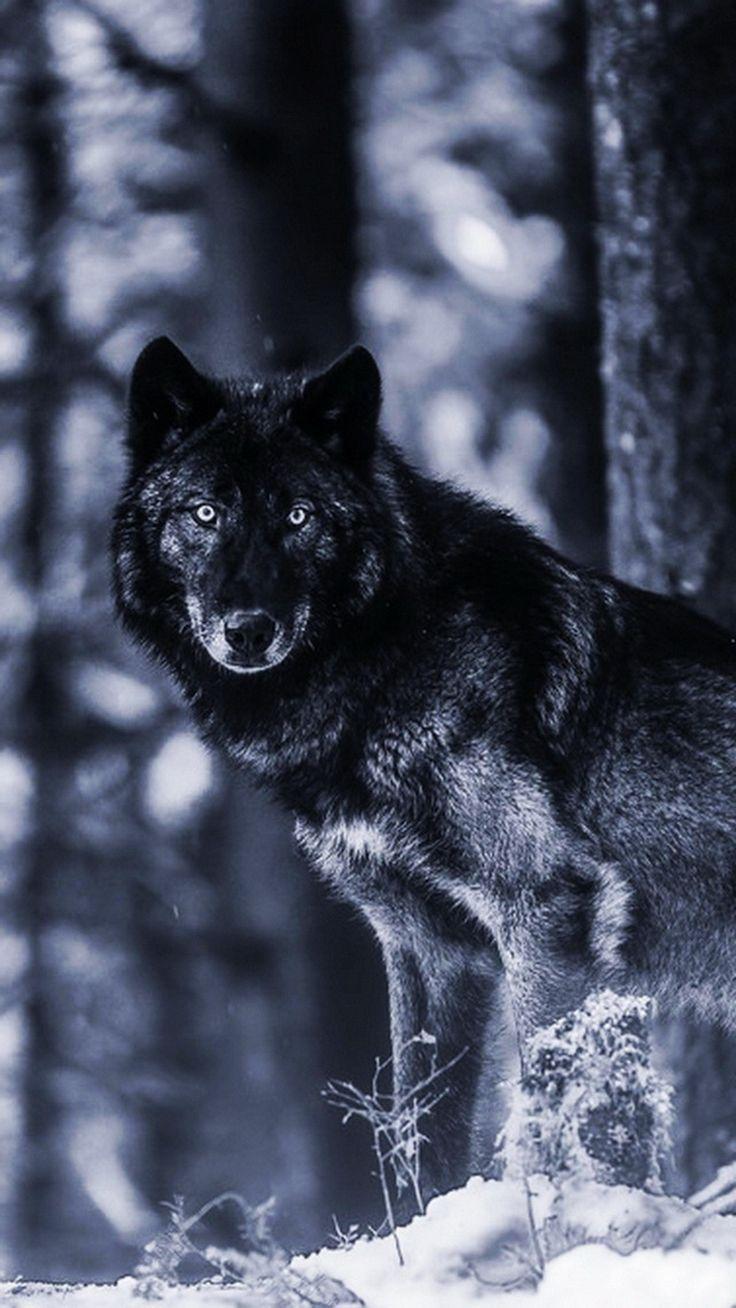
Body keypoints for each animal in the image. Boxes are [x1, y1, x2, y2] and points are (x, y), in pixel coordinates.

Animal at [112, 336, 736, 1197]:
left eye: (299, 517)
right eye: (205, 513)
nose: (248, 630)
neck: (387, 653)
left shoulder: (547, 907)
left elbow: (564, 1106)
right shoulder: (425, 944)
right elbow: (417, 1136)